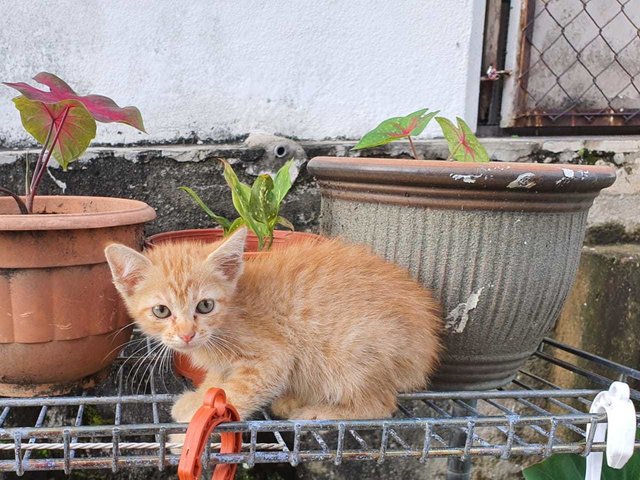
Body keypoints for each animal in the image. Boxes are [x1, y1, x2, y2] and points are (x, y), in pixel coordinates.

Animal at [105, 228, 442, 420]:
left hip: (352, 350)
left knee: (381, 404)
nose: (188, 335)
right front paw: (201, 398)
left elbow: (237, 392)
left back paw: (316, 412)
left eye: (205, 305)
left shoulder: (273, 357)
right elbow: (217, 382)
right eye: (161, 311)